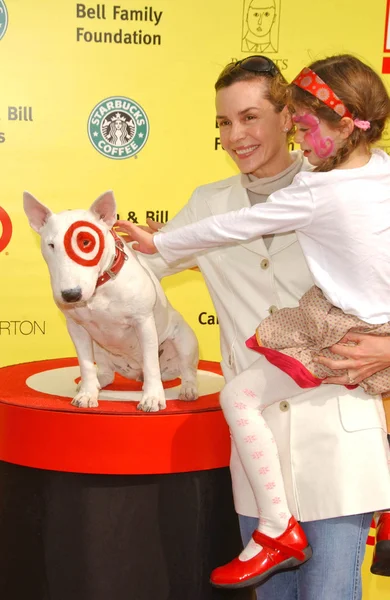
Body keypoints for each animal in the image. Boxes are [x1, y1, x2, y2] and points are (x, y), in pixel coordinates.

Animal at [23, 192, 200, 412]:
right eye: (51, 245)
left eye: (86, 242)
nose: (71, 295)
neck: (100, 288)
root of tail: (136, 372)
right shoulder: (76, 328)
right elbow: (85, 364)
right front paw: (87, 395)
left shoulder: (143, 321)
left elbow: (151, 363)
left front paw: (152, 399)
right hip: (99, 347)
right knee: (106, 372)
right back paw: (96, 383)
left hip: (184, 341)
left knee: (186, 369)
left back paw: (188, 389)